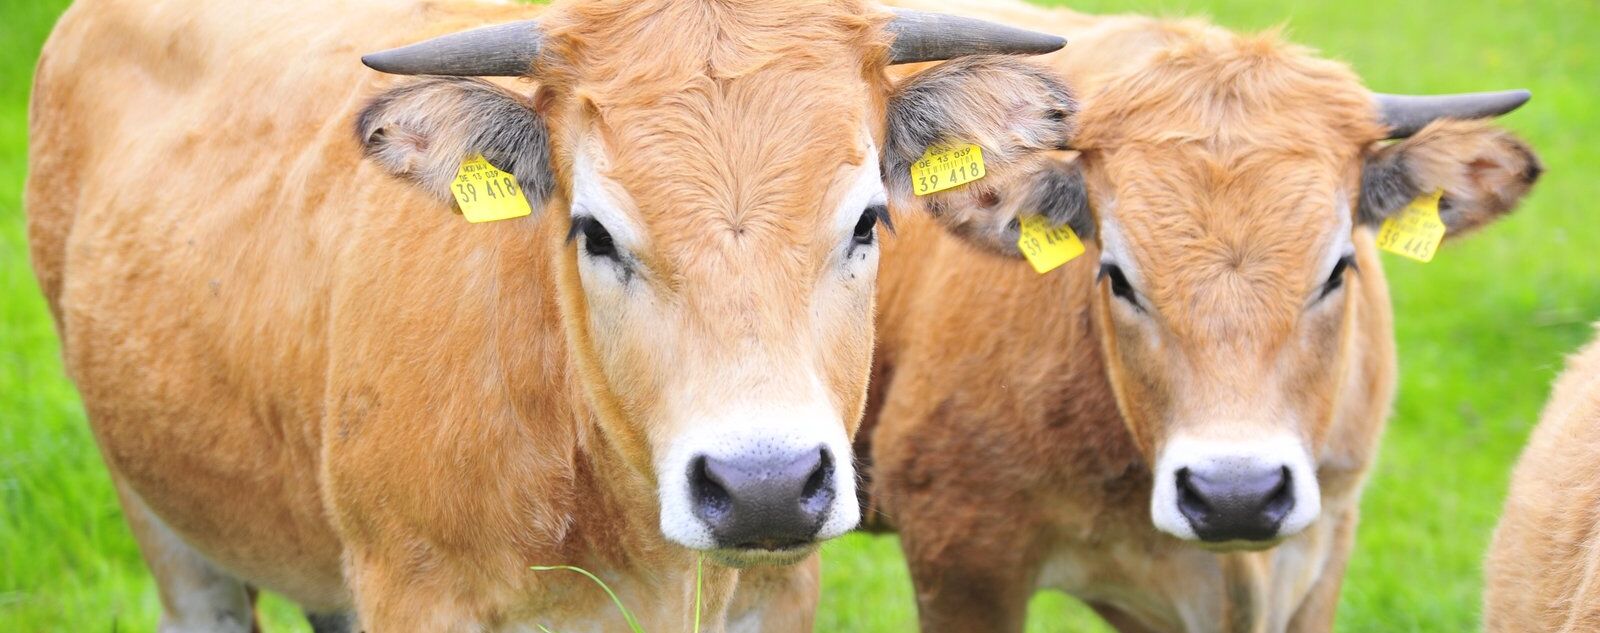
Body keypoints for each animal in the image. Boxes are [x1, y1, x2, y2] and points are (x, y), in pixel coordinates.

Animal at [25, 0, 1081, 629]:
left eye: (867, 218)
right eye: (594, 231)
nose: (765, 485)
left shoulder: (780, 588)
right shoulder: (416, 591)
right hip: (158, 511)